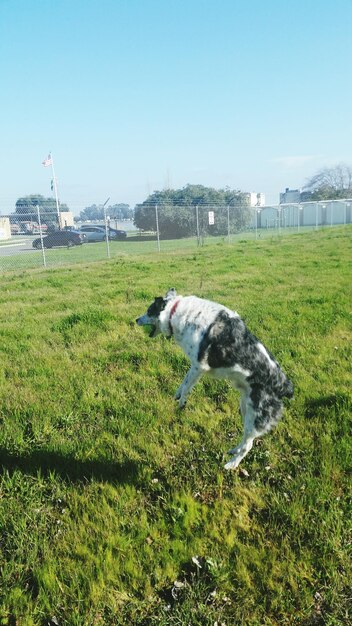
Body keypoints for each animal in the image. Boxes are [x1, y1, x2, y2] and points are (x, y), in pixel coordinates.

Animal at [136, 288, 292, 468]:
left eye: (149, 311)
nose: (136, 319)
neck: (175, 311)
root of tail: (284, 386)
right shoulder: (194, 366)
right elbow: (184, 382)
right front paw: (177, 394)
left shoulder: (198, 366)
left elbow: (187, 385)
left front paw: (181, 403)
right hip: (245, 408)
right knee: (245, 440)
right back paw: (233, 451)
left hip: (256, 417)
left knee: (248, 445)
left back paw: (231, 464)